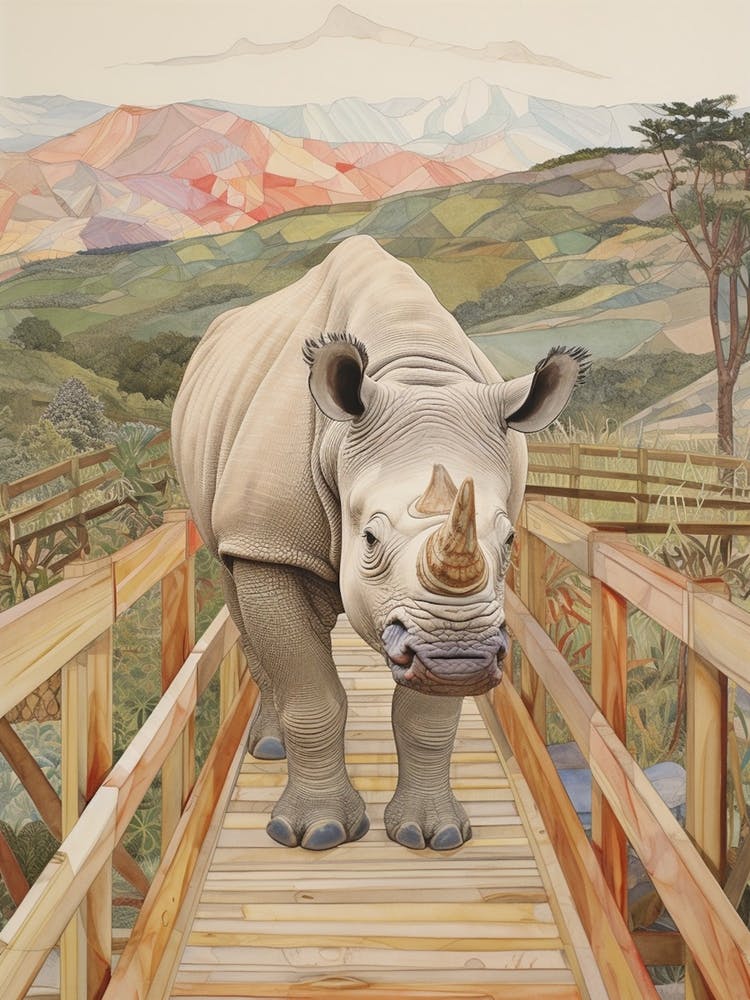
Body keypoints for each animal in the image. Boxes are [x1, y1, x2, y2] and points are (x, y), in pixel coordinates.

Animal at [171, 235, 589, 852]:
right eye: (368, 537)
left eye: (511, 540)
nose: (459, 658)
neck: (417, 374)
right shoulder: (267, 537)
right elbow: (310, 692)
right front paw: (315, 833)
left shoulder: (447, 615)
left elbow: (427, 718)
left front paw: (433, 834)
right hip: (231, 512)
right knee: (236, 589)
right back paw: (268, 749)